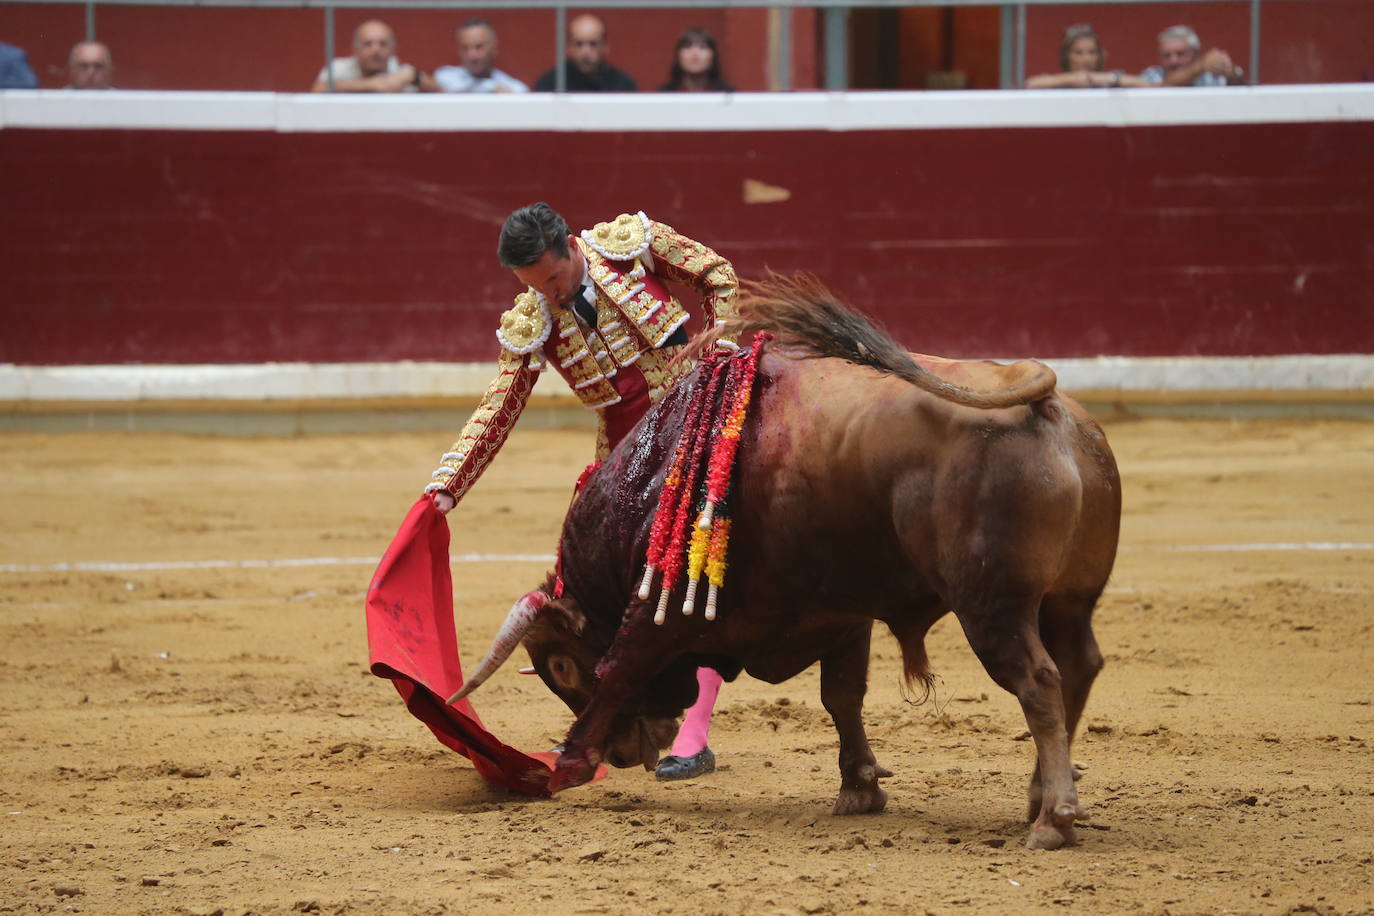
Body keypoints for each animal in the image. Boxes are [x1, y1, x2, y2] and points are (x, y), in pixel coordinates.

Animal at [447, 280, 1115, 851]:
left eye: (560, 665)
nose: (622, 754)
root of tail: (1047, 405)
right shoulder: (842, 613)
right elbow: (842, 695)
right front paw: (859, 789)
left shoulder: (660, 608)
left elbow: (616, 668)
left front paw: (566, 765)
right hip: (1068, 600)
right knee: (1078, 665)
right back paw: (1038, 799)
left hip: (991, 606)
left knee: (1039, 680)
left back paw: (1053, 819)